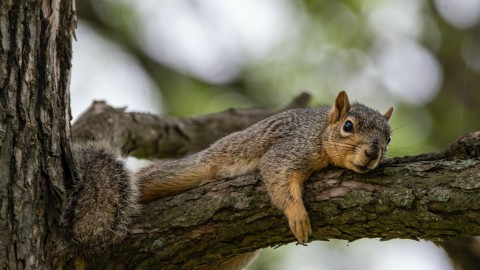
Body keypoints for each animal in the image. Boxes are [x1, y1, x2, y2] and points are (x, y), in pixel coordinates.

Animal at [62, 91, 394, 268]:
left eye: (389, 138)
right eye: (348, 126)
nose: (372, 153)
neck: (321, 131)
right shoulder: (291, 148)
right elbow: (278, 172)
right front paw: (297, 214)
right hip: (195, 168)